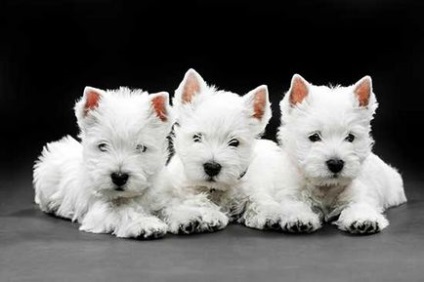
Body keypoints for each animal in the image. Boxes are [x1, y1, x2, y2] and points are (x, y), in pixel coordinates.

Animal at [33, 86, 172, 238]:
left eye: (140, 147)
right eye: (102, 146)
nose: (119, 177)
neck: (127, 196)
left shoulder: (157, 196)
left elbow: (168, 205)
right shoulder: (100, 209)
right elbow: (123, 212)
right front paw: (145, 224)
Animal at [159, 69, 272, 235]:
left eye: (234, 142)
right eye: (197, 137)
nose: (212, 167)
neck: (215, 189)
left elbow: (258, 199)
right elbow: (198, 200)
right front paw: (210, 216)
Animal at [240, 74, 406, 234]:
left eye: (350, 137)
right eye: (314, 137)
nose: (336, 164)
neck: (326, 187)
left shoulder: (361, 193)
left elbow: (361, 204)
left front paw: (363, 220)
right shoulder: (289, 192)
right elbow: (293, 205)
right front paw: (299, 219)